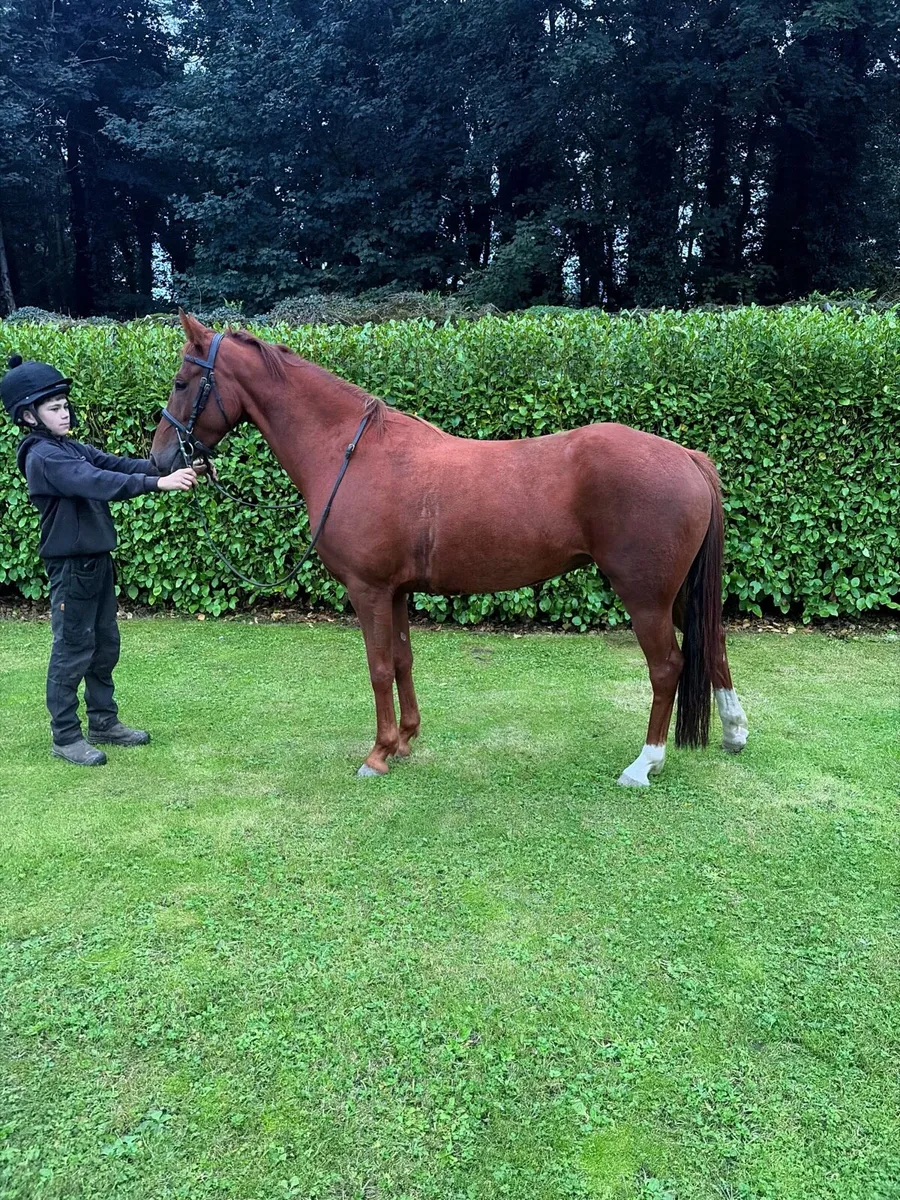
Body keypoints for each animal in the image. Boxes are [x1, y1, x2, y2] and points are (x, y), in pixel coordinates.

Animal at [150, 311, 748, 784]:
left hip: (645, 595)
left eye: (181, 382)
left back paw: (644, 764)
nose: (159, 460)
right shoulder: (394, 592)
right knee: (715, 646)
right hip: (680, 591)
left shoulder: (368, 590)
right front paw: (405, 740)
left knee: (668, 667)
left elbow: (378, 667)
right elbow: (403, 660)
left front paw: (377, 754)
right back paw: (734, 734)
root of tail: (687, 456)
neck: (351, 453)